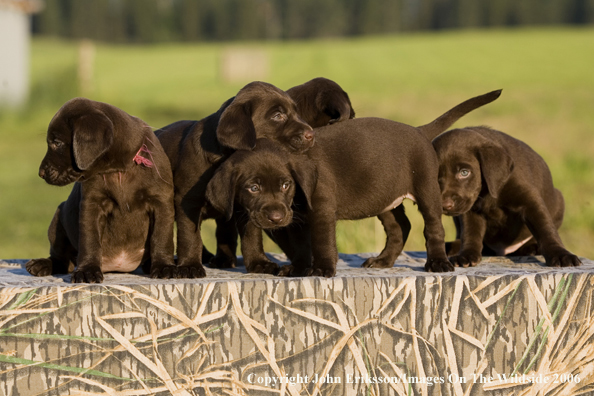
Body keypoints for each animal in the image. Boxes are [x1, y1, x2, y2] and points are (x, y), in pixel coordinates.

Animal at [430, 127, 580, 268]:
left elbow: (545, 228)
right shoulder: (470, 209)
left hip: (559, 201)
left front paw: (560, 254)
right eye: (434, 176)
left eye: (464, 172)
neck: (488, 193)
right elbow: (470, 232)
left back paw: (531, 248)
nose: (445, 205)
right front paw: (467, 255)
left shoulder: (530, 200)